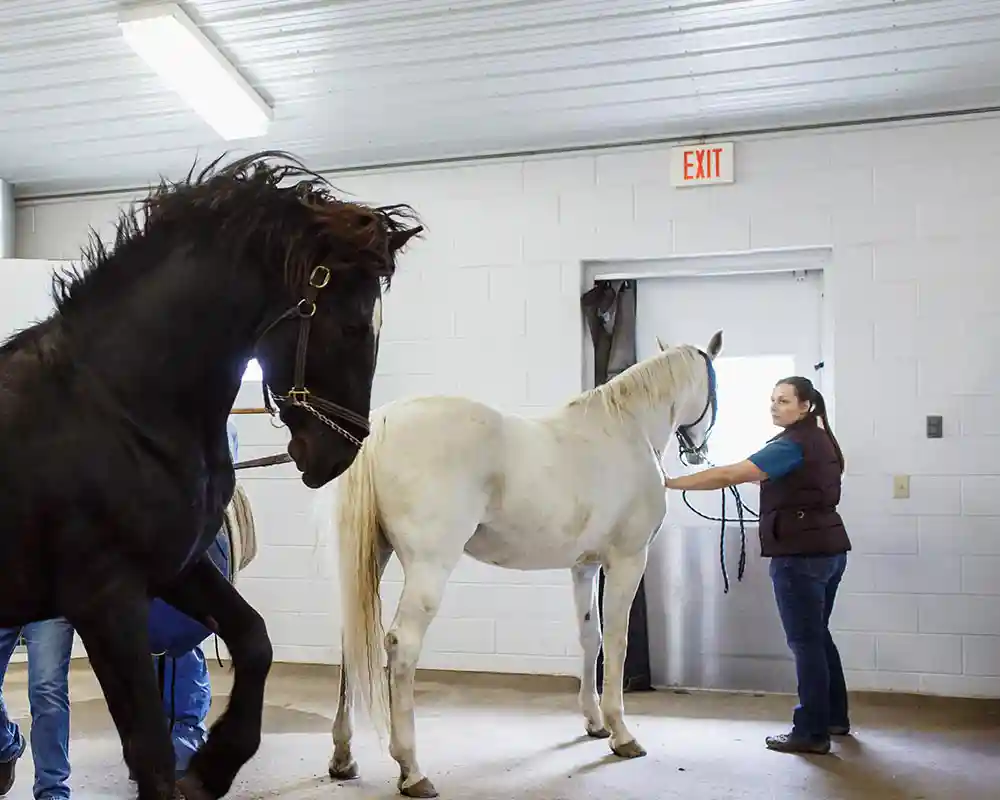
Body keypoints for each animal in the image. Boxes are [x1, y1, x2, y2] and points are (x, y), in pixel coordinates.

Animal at [0, 150, 422, 800]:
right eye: (352, 325)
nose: (340, 453)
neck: (119, 407)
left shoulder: (176, 569)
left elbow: (254, 640)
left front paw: (212, 765)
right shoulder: (107, 600)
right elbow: (149, 750)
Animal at [331, 330, 723, 797]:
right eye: (714, 382)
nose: (699, 451)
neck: (627, 428)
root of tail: (382, 426)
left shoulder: (584, 567)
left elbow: (591, 638)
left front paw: (594, 723)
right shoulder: (627, 561)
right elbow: (618, 642)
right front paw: (621, 734)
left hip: (374, 557)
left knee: (352, 640)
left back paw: (343, 758)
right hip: (429, 567)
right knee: (401, 646)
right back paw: (412, 770)